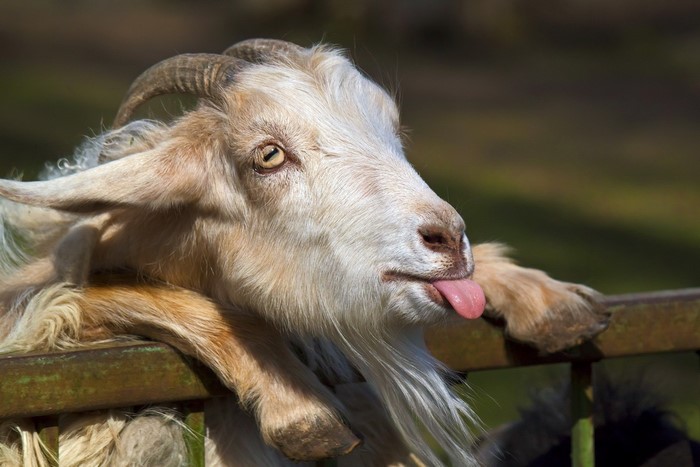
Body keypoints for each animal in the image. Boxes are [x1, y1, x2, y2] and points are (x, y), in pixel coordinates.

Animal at [0, 39, 609, 466]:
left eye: (393, 133)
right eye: (269, 155)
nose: (448, 238)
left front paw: (551, 302)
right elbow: (95, 294)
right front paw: (303, 411)